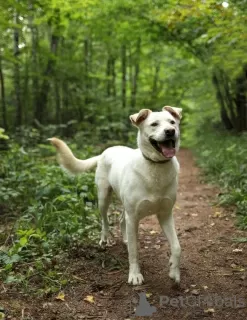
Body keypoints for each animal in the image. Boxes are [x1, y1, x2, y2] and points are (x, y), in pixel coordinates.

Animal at [49, 106, 182, 286]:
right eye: (154, 124)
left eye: (172, 122)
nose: (170, 131)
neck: (155, 167)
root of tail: (105, 151)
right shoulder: (133, 217)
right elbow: (134, 251)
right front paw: (134, 275)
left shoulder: (165, 215)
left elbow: (177, 247)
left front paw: (174, 271)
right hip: (103, 198)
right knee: (105, 220)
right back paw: (104, 239)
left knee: (120, 220)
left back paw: (125, 239)